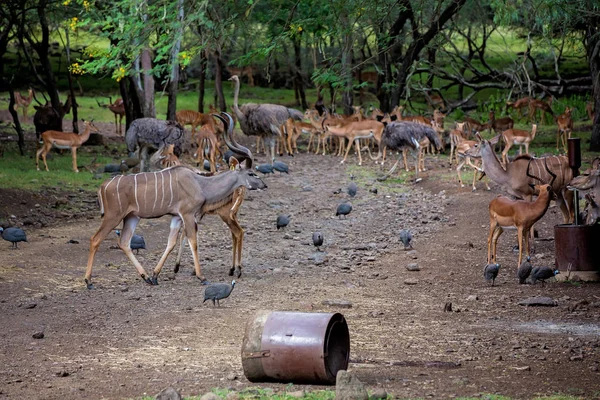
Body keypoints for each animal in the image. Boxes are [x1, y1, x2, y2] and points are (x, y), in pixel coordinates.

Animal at [84, 112, 264, 288]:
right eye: (251, 173)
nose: (264, 184)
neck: (201, 184)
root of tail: (103, 186)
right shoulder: (188, 214)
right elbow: (193, 242)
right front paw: (201, 277)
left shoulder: (177, 217)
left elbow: (171, 242)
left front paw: (155, 275)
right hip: (113, 216)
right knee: (95, 239)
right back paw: (88, 281)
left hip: (132, 217)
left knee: (124, 242)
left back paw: (145, 276)